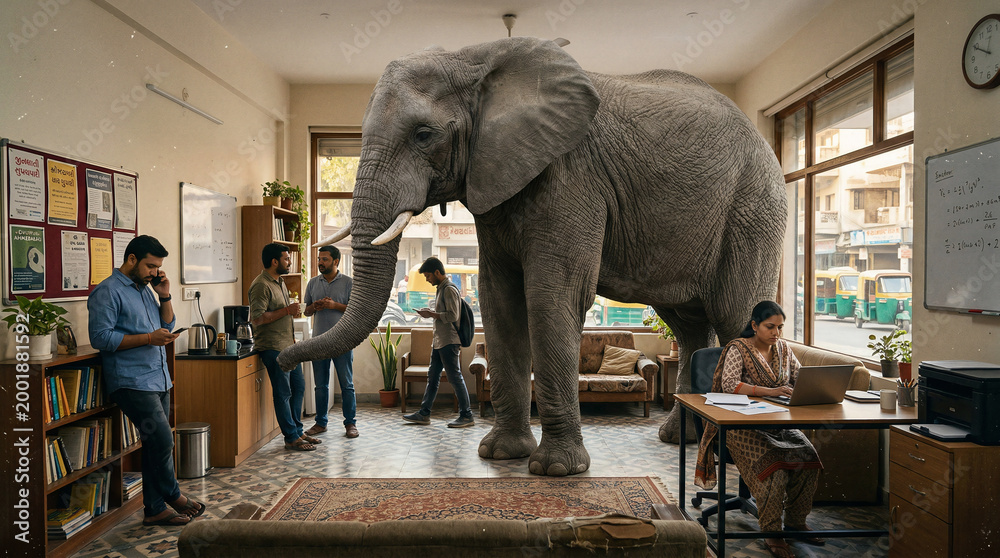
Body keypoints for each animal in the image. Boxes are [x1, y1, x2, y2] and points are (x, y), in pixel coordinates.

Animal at [277, 37, 786, 476]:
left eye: (423, 134)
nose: (281, 361)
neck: (474, 58)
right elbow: (499, 301)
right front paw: (500, 454)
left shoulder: (571, 176)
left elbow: (549, 298)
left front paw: (556, 470)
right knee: (687, 325)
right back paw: (680, 438)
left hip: (753, 210)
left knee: (734, 314)